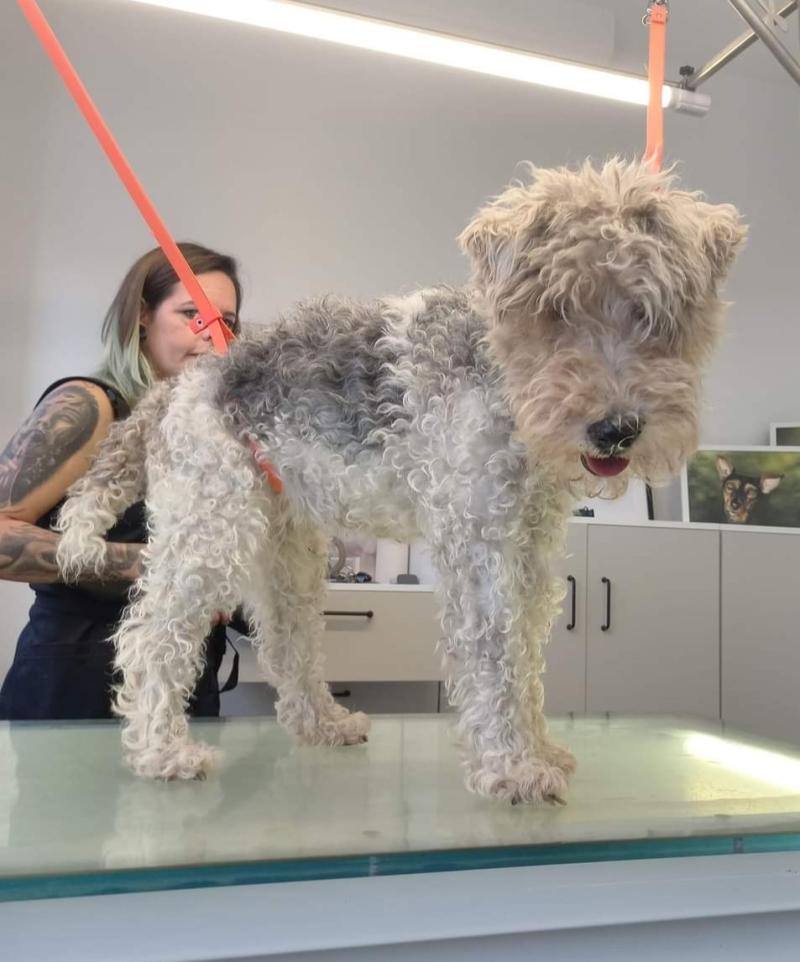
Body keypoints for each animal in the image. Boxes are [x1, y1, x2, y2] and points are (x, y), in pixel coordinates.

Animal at [56, 159, 745, 803]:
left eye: (657, 313)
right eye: (553, 310)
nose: (616, 431)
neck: (501, 374)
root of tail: (182, 387)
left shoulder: (527, 542)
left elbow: (524, 650)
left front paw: (540, 749)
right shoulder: (480, 540)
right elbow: (497, 655)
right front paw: (514, 768)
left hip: (286, 546)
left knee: (287, 643)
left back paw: (325, 724)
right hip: (210, 527)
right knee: (152, 638)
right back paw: (163, 753)